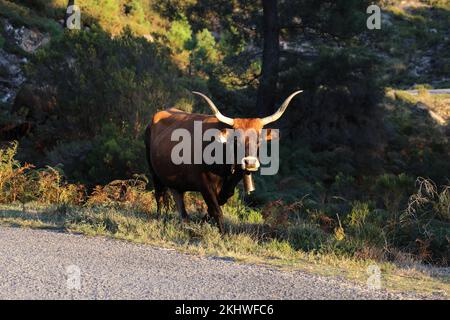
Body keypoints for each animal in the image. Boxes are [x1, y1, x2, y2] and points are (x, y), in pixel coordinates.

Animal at [146, 90, 302, 232]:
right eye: (236, 139)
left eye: (259, 139)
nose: (250, 163)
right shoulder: (205, 185)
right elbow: (216, 210)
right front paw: (223, 234)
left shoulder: (228, 188)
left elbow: (214, 207)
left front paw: (201, 224)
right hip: (154, 173)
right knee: (159, 196)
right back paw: (160, 220)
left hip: (176, 180)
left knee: (179, 200)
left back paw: (183, 223)